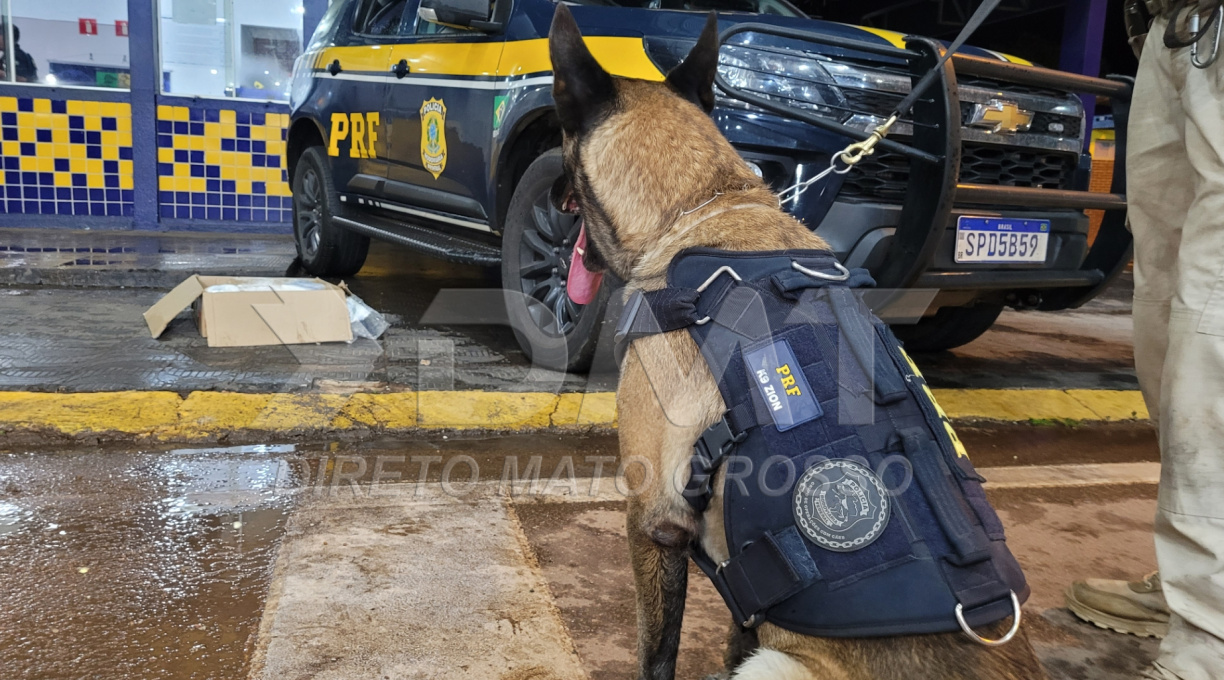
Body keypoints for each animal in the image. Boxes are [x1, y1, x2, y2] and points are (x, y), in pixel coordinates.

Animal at [550, 6, 1047, 680]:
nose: (550, 198)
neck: (701, 208)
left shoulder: (654, 519)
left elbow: (658, 654)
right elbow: (738, 626)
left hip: (781, 666)